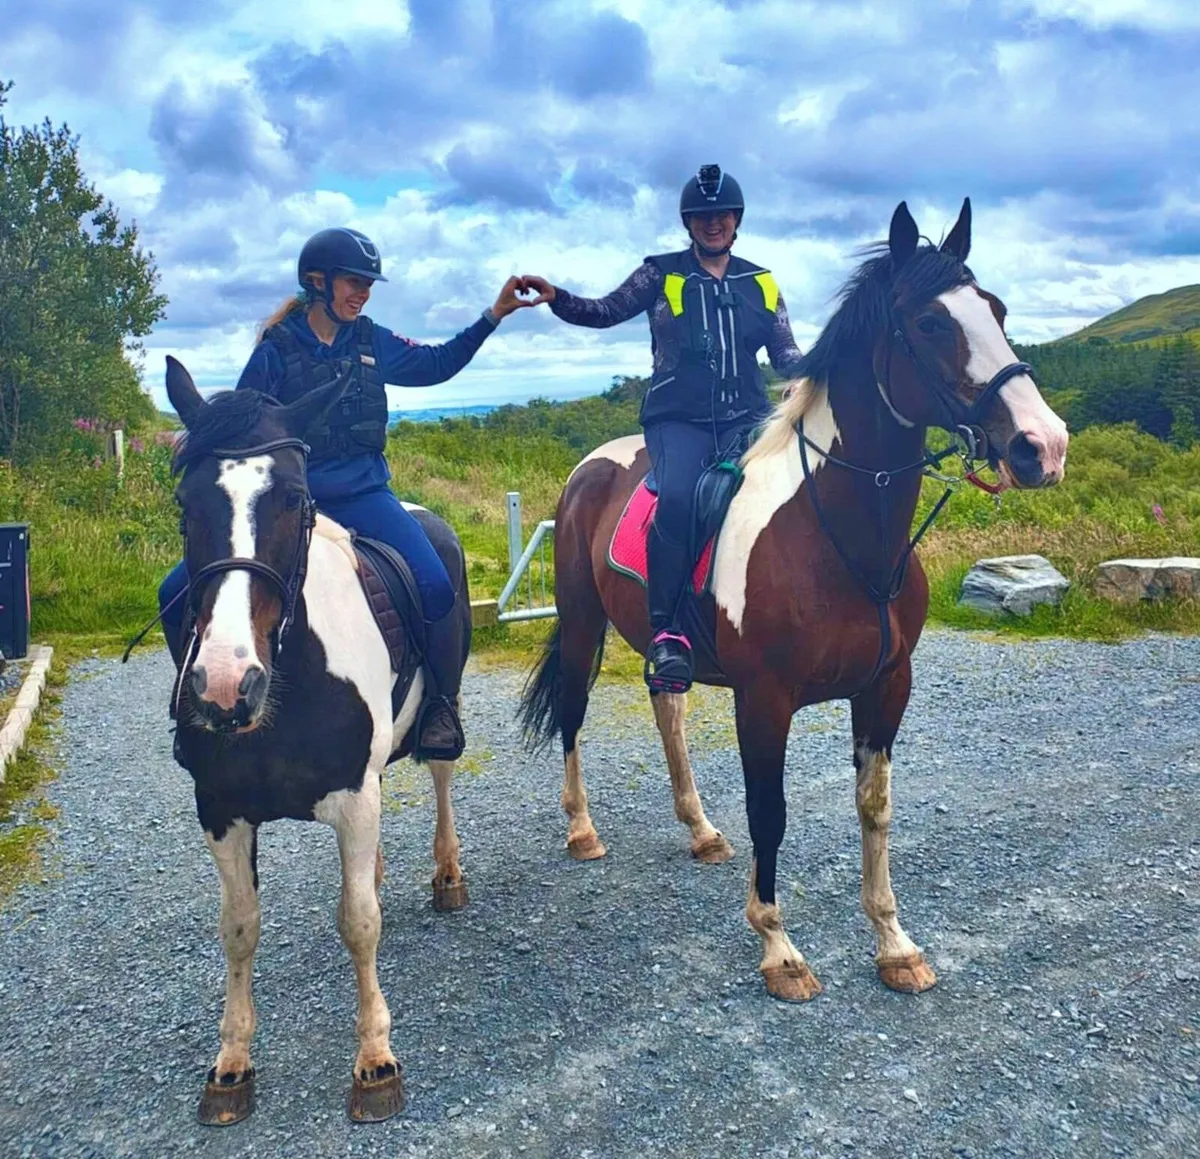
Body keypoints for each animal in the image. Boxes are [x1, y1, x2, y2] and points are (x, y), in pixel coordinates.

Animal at [162, 358, 472, 1123]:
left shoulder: (352, 798)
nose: (225, 685)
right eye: (186, 503)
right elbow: (238, 926)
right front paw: (231, 1064)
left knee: (441, 776)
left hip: (438, 718)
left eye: (294, 500)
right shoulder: (222, 810)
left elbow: (358, 921)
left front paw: (375, 1061)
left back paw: (447, 874)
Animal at [519, 198, 1069, 1002]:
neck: (836, 533)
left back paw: (699, 829)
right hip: (584, 623)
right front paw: (779, 949)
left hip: (661, 645)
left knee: (667, 708)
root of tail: (591, 466)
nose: (1043, 446)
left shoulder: (886, 686)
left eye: (996, 310)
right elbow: (770, 814)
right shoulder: (765, 698)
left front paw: (894, 943)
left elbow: (874, 807)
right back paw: (582, 830)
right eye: (932, 323)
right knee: (573, 712)